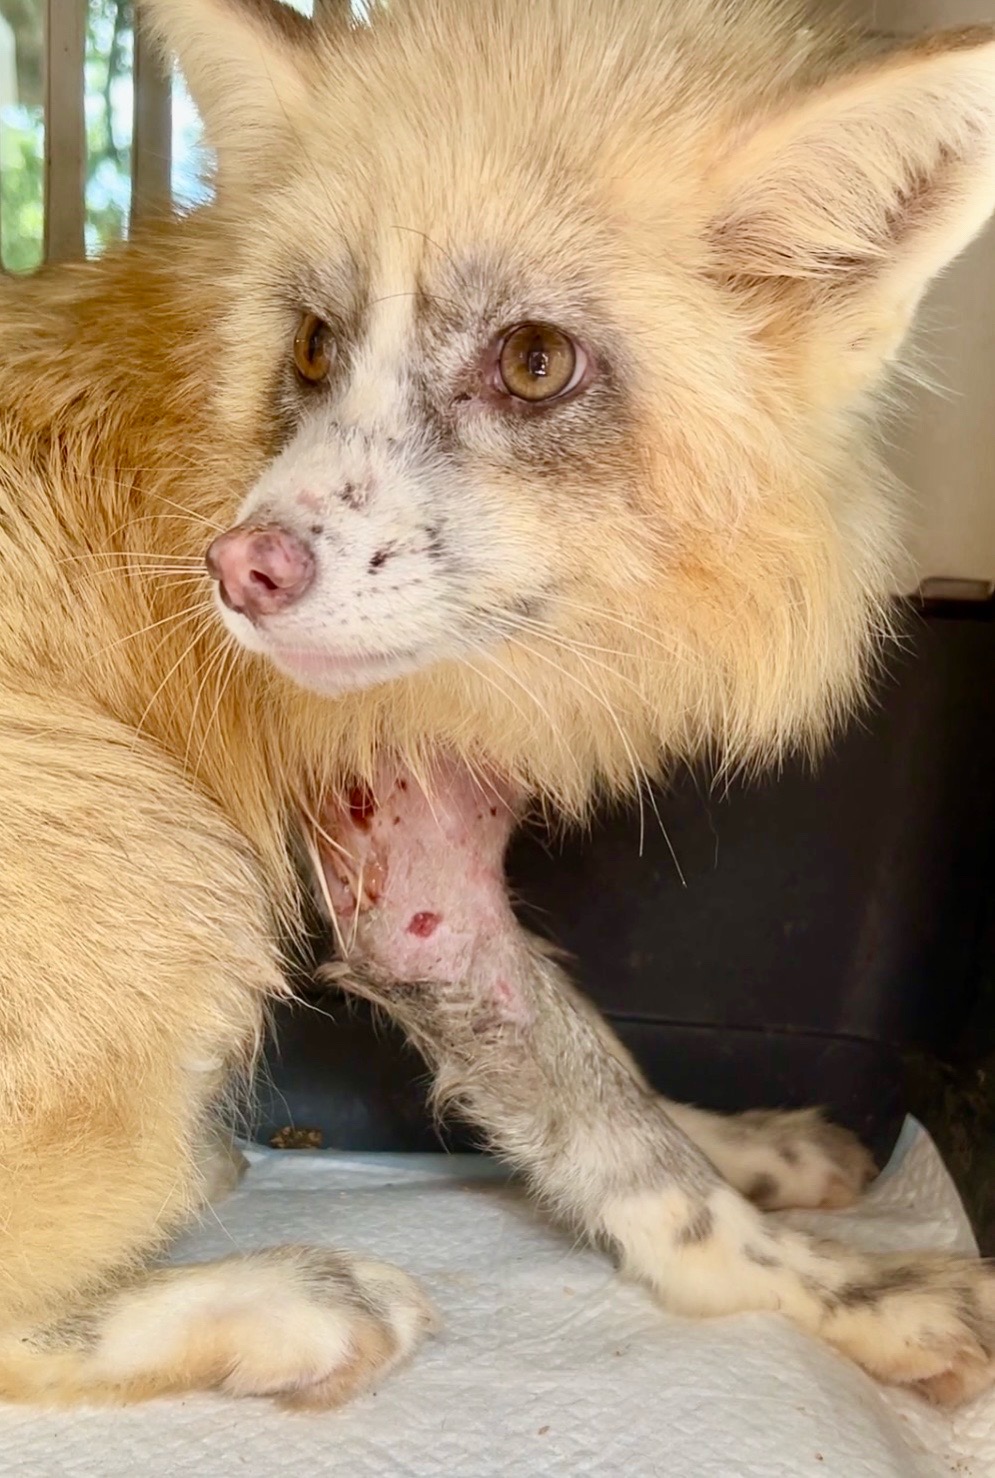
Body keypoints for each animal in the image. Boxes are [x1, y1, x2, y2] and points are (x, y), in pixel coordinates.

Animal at [1, 0, 994, 1412]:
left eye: (531, 362)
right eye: (315, 345)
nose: (240, 571)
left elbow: (605, 1063)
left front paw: (745, 1141)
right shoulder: (409, 898)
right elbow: (633, 1159)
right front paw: (841, 1290)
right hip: (170, 869)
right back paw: (286, 1303)